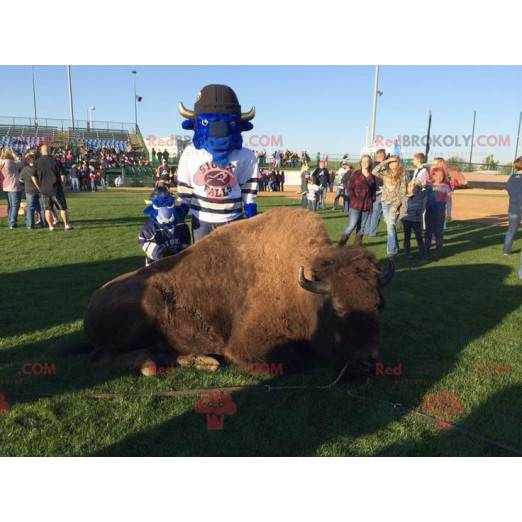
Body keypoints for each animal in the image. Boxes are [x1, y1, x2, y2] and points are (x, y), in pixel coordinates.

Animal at [84, 207, 390, 378]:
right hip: (145, 308)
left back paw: (202, 360)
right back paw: (154, 365)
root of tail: (92, 303)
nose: (370, 361)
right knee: (102, 358)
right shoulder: (247, 346)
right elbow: (292, 361)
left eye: (379, 305)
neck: (301, 289)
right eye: (338, 308)